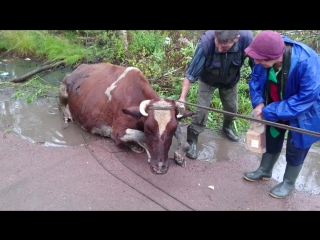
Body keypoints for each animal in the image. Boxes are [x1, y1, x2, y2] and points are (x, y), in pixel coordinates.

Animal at [58, 62, 194, 173]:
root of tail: (80, 67)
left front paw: (180, 154)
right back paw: (68, 115)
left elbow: (181, 135)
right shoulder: (117, 130)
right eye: (149, 129)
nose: (160, 167)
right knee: (62, 104)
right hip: (62, 87)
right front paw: (139, 148)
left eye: (171, 131)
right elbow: (140, 135)